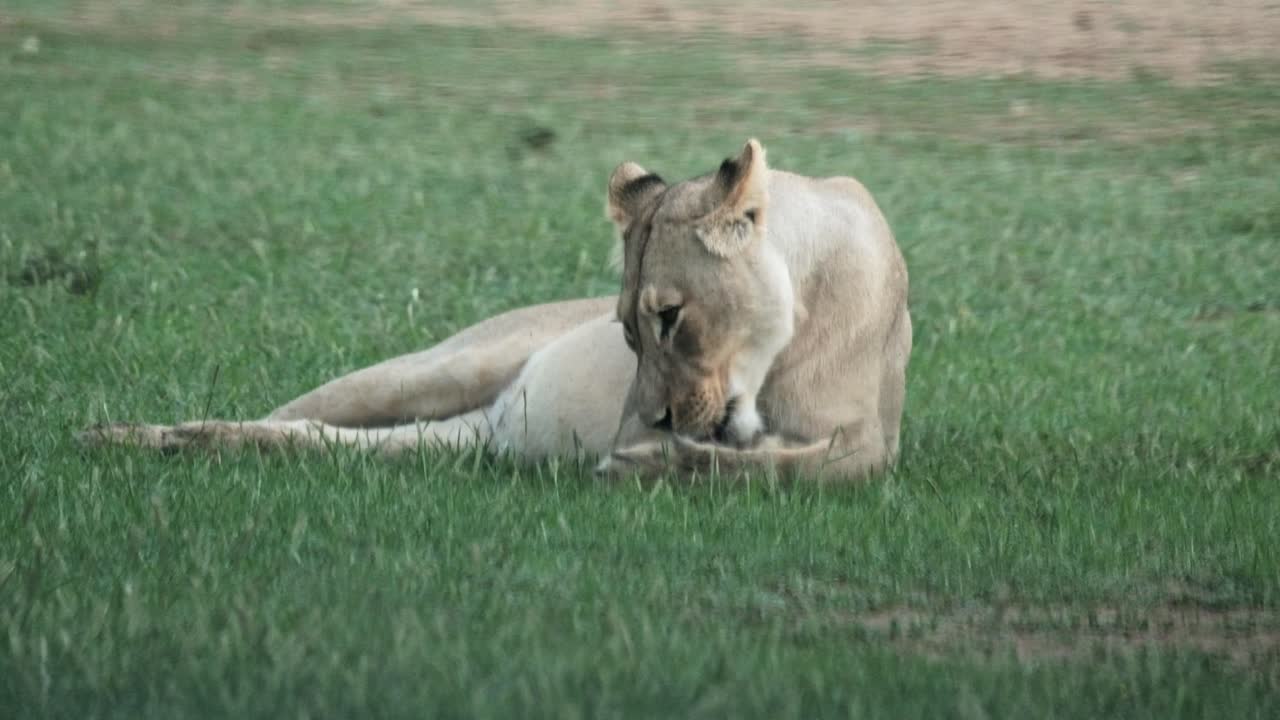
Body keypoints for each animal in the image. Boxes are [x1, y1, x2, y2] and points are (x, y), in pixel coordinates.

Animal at [81, 139, 912, 481]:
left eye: (670, 315)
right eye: (627, 330)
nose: (654, 421)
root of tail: (495, 420)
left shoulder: (872, 443)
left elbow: (792, 468)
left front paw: (667, 461)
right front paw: (647, 459)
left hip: (450, 440)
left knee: (310, 439)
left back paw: (182, 444)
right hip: (433, 369)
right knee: (289, 414)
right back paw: (130, 436)